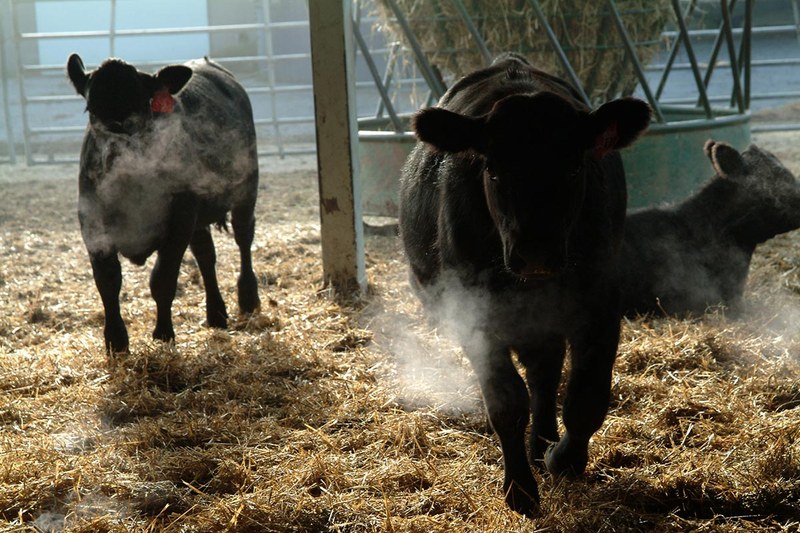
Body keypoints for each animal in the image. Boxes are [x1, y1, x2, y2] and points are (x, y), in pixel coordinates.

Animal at [67, 54, 261, 354]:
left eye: (142, 104)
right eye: (91, 108)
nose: (116, 143)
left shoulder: (180, 219)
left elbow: (163, 279)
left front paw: (163, 334)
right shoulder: (93, 225)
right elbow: (108, 282)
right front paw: (116, 341)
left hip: (245, 188)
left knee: (243, 238)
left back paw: (248, 298)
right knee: (206, 254)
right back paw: (216, 313)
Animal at [398, 53, 651, 515]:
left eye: (573, 167)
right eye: (495, 172)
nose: (536, 253)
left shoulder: (600, 304)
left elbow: (587, 396)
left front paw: (564, 459)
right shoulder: (474, 314)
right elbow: (506, 401)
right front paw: (520, 488)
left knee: (545, 376)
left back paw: (545, 442)